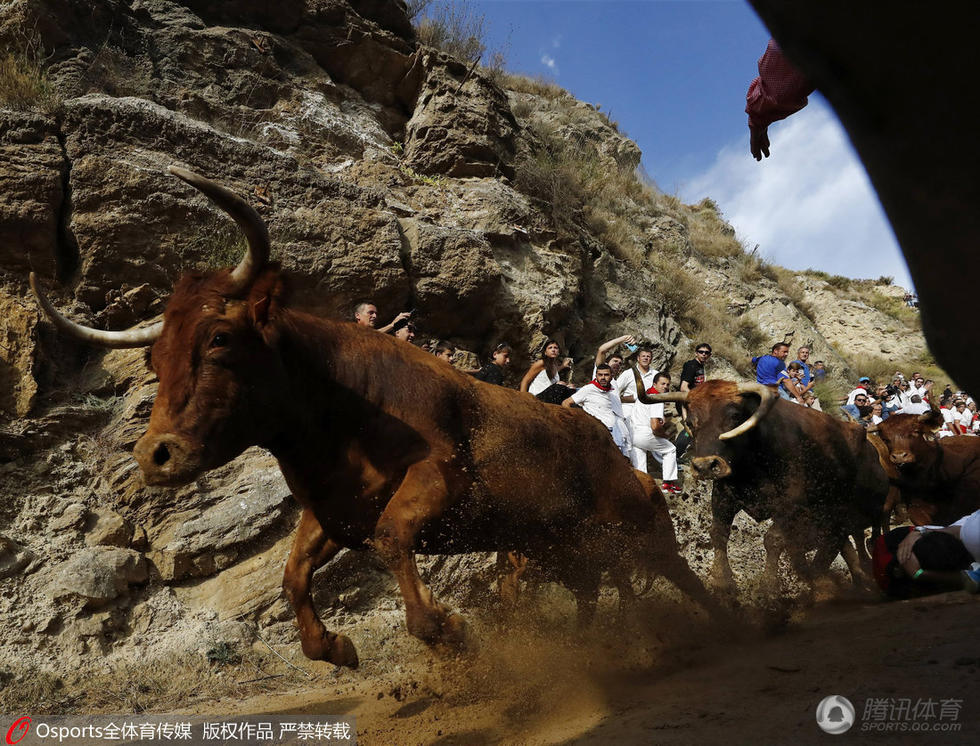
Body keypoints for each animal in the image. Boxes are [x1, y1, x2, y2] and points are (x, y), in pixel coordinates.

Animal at [636, 378, 888, 592]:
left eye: (735, 415)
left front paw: (769, 587)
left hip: (848, 517)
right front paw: (721, 580)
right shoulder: (725, 495)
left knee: (847, 546)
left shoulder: (791, 504)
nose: (706, 465)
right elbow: (719, 533)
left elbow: (773, 540)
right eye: (690, 421)